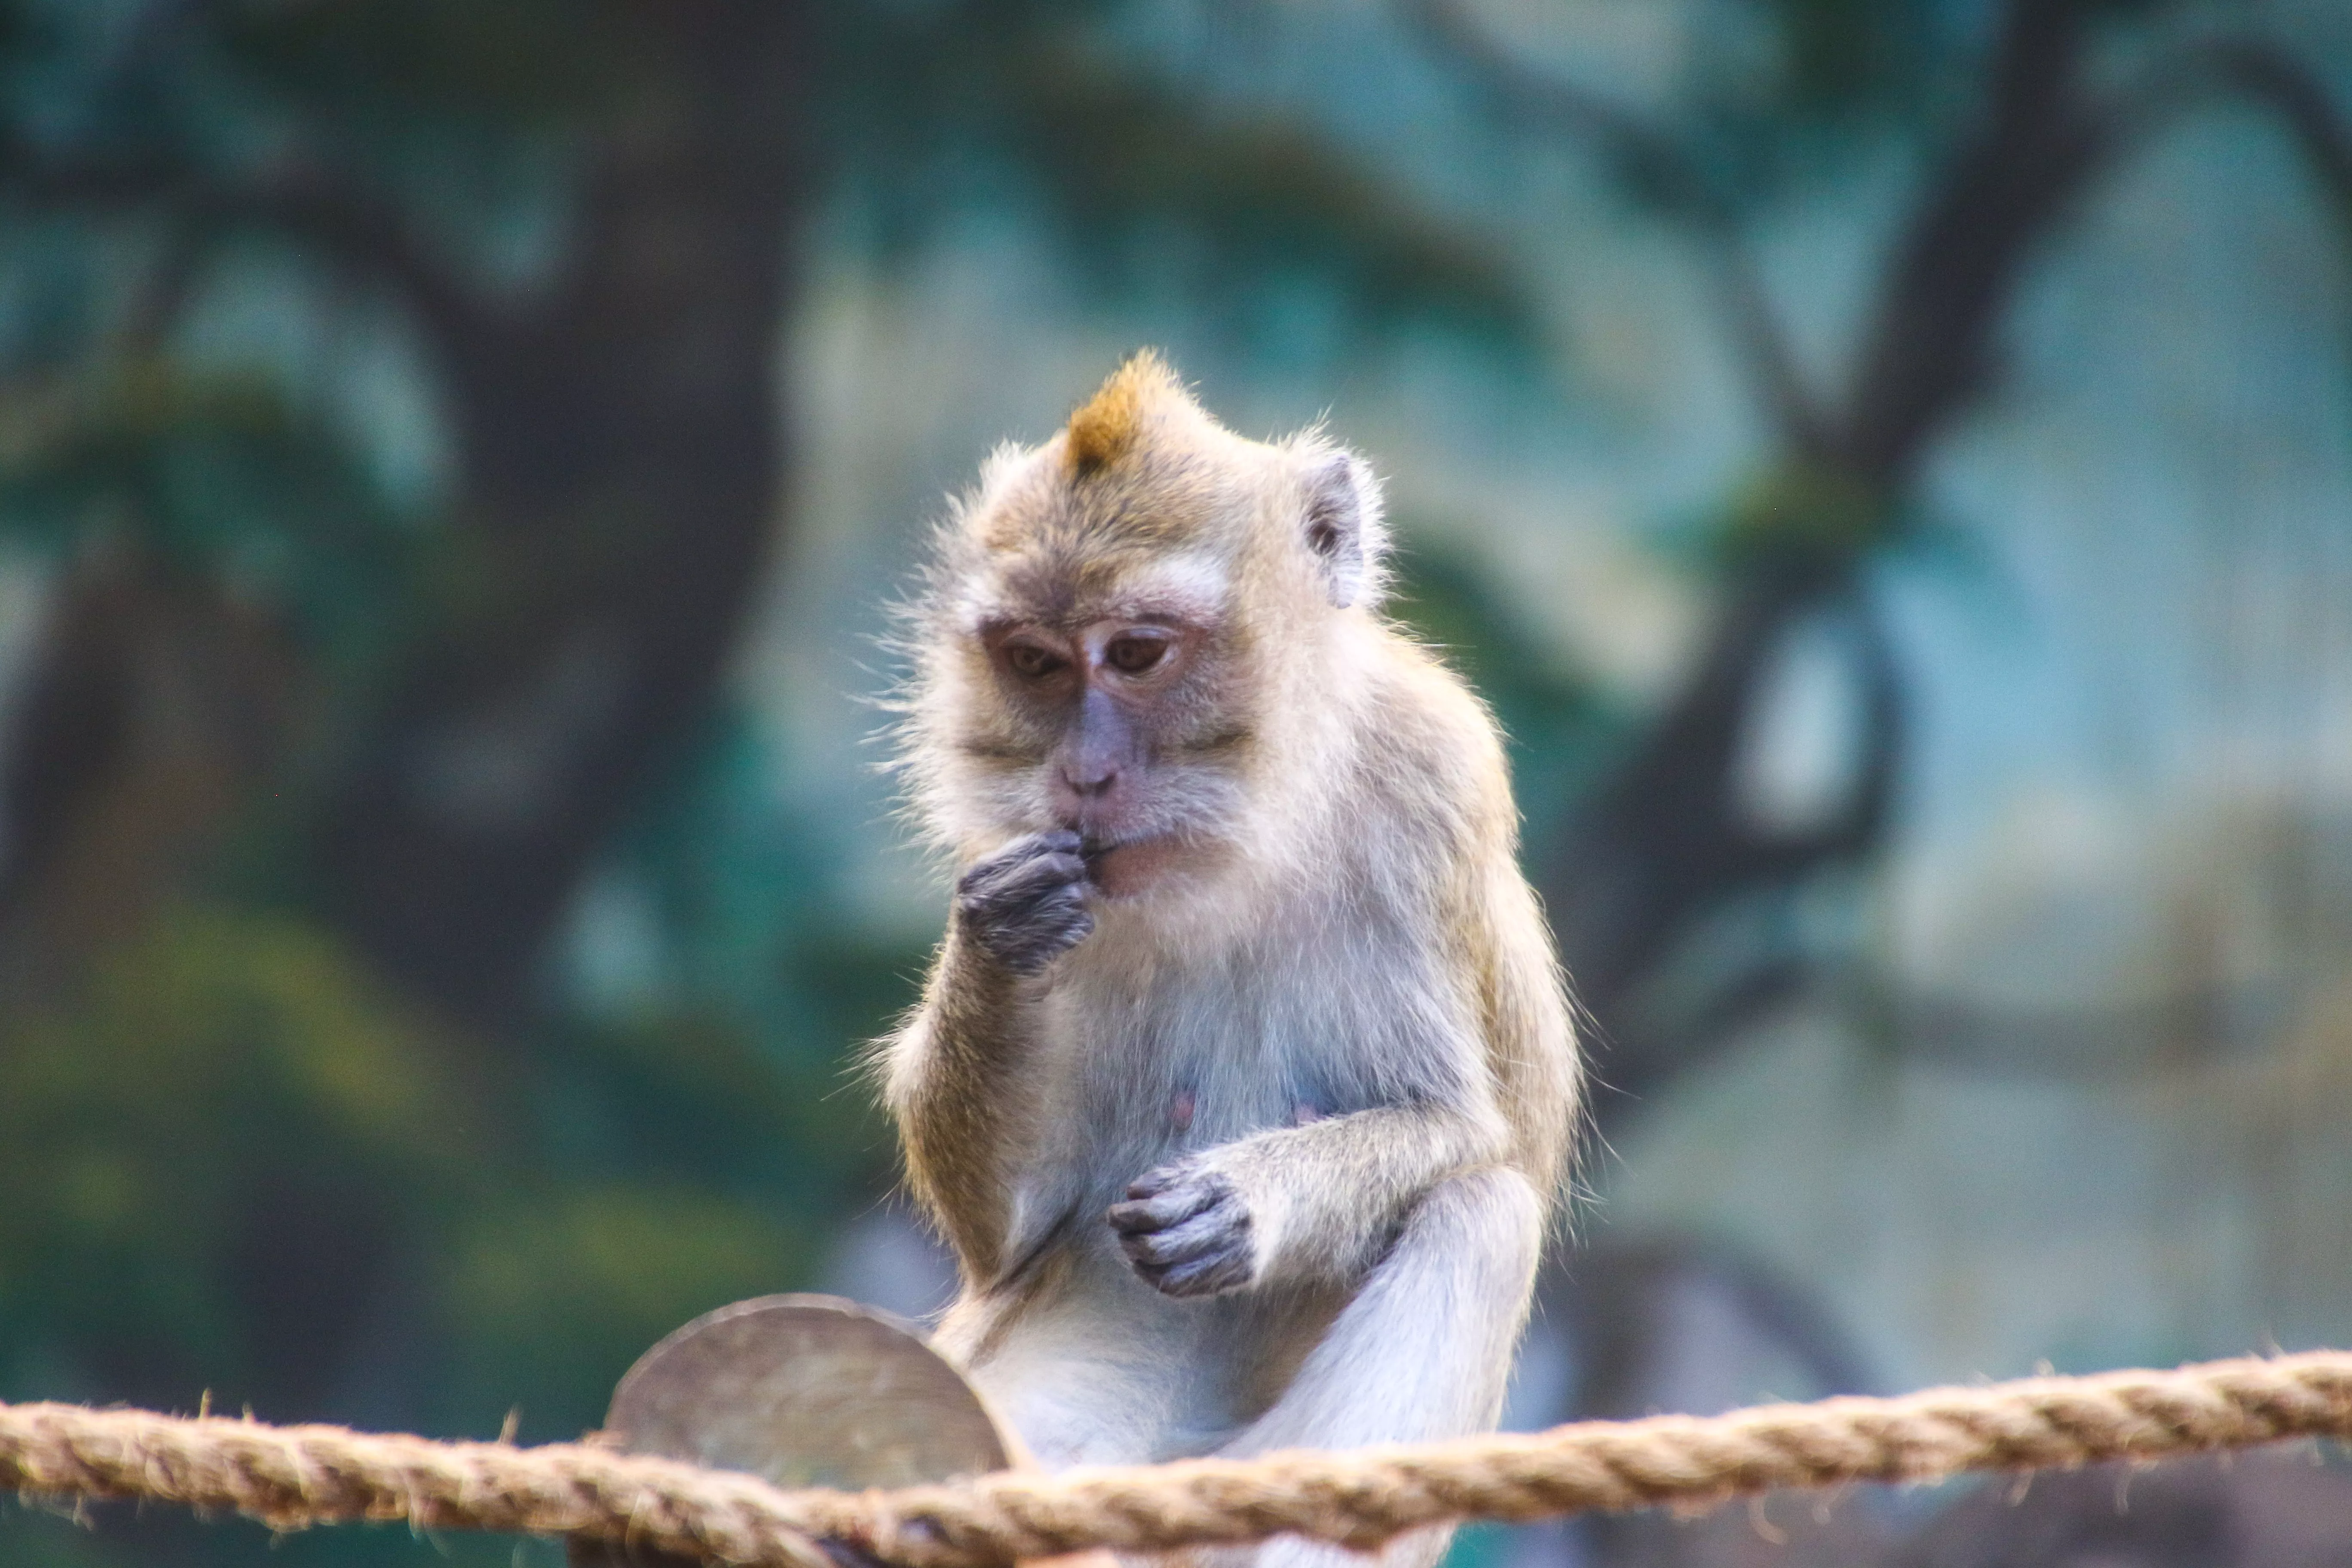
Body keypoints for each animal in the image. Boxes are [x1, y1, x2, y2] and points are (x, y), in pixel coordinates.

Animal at [879, 355, 1580, 1568]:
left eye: (1137, 653)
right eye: (1034, 663)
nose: (1083, 777)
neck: (1242, 842)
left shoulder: (1430, 782)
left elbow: (1462, 1129)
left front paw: (1246, 1205)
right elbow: (1012, 1232)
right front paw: (1001, 934)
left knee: (1480, 1215)